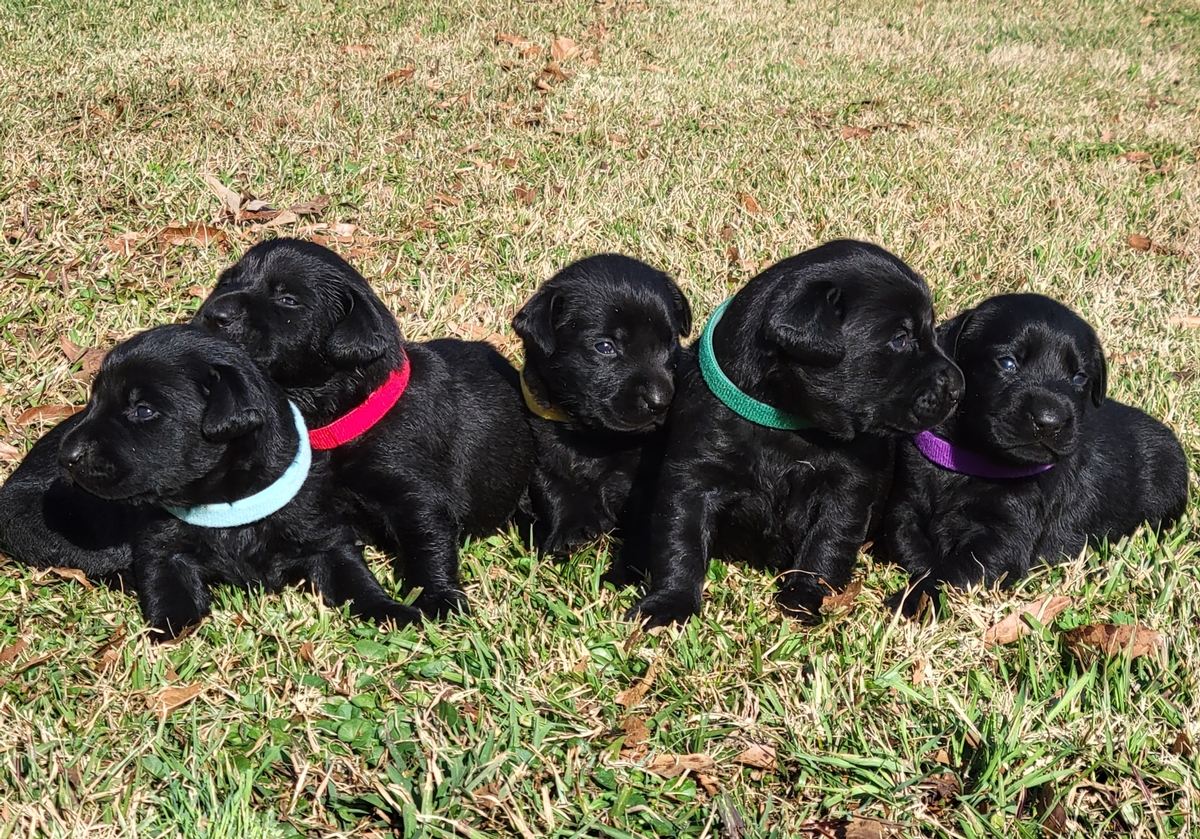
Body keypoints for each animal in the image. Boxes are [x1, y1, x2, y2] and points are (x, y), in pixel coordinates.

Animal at [57, 325, 420, 640]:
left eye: (143, 410)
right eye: (94, 401)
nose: (67, 455)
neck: (227, 506)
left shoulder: (322, 533)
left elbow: (353, 577)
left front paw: (391, 611)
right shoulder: (162, 548)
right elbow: (168, 593)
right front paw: (167, 636)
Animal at [195, 238, 534, 617]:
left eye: (288, 299)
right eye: (227, 282)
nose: (214, 314)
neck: (341, 418)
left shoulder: (415, 495)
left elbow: (426, 543)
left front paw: (438, 599)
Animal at [512, 254, 691, 565]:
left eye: (669, 344)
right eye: (605, 347)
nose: (661, 400)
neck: (595, 437)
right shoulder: (543, 445)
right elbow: (553, 485)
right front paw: (570, 531)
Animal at [625, 240, 965, 627]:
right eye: (900, 338)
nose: (958, 388)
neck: (788, 420)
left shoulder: (847, 487)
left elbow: (826, 542)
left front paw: (804, 598)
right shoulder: (694, 476)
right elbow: (681, 541)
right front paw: (669, 603)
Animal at [883, 293, 1189, 615]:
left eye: (1080, 377)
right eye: (1008, 363)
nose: (1049, 421)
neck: (970, 461)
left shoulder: (1005, 536)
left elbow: (954, 571)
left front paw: (914, 599)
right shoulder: (906, 506)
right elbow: (906, 542)